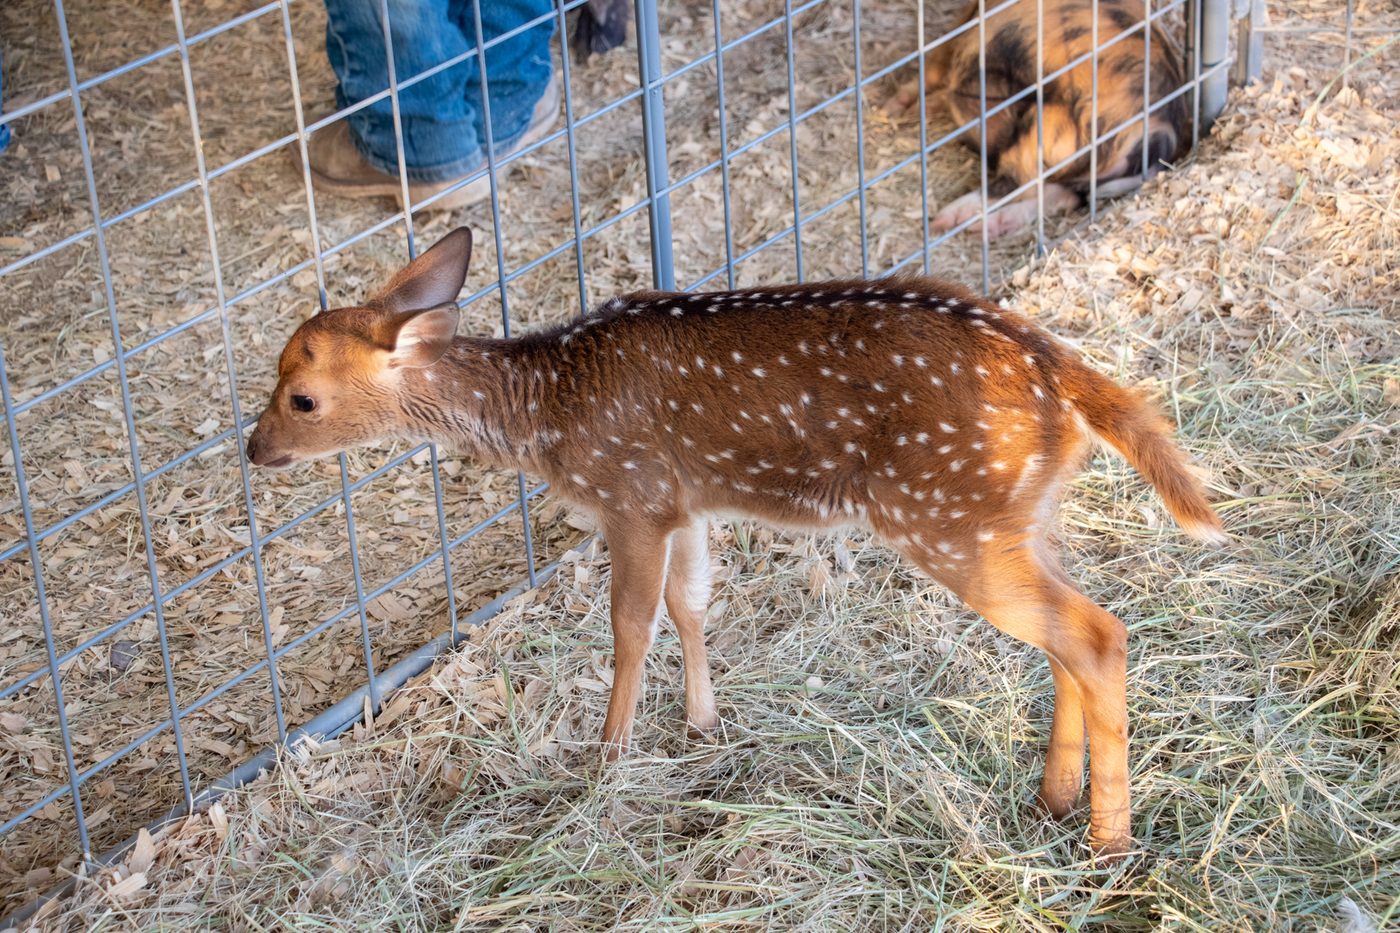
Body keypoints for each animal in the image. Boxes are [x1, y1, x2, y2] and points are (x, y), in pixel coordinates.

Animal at [246, 227, 1225, 857]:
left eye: (301, 398)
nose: (254, 449)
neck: (550, 413)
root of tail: (1065, 376)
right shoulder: (687, 505)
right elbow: (691, 603)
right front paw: (703, 723)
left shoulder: (631, 496)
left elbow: (630, 624)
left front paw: (608, 757)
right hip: (1017, 518)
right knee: (1068, 639)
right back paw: (1053, 801)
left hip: (947, 516)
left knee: (1097, 633)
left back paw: (1106, 843)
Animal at [882, 0, 1189, 239]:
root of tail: (1157, 134)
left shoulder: (962, 28)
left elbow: (933, 65)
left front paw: (893, 109)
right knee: (1061, 195)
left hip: (1041, 129)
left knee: (1015, 183)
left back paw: (948, 221)